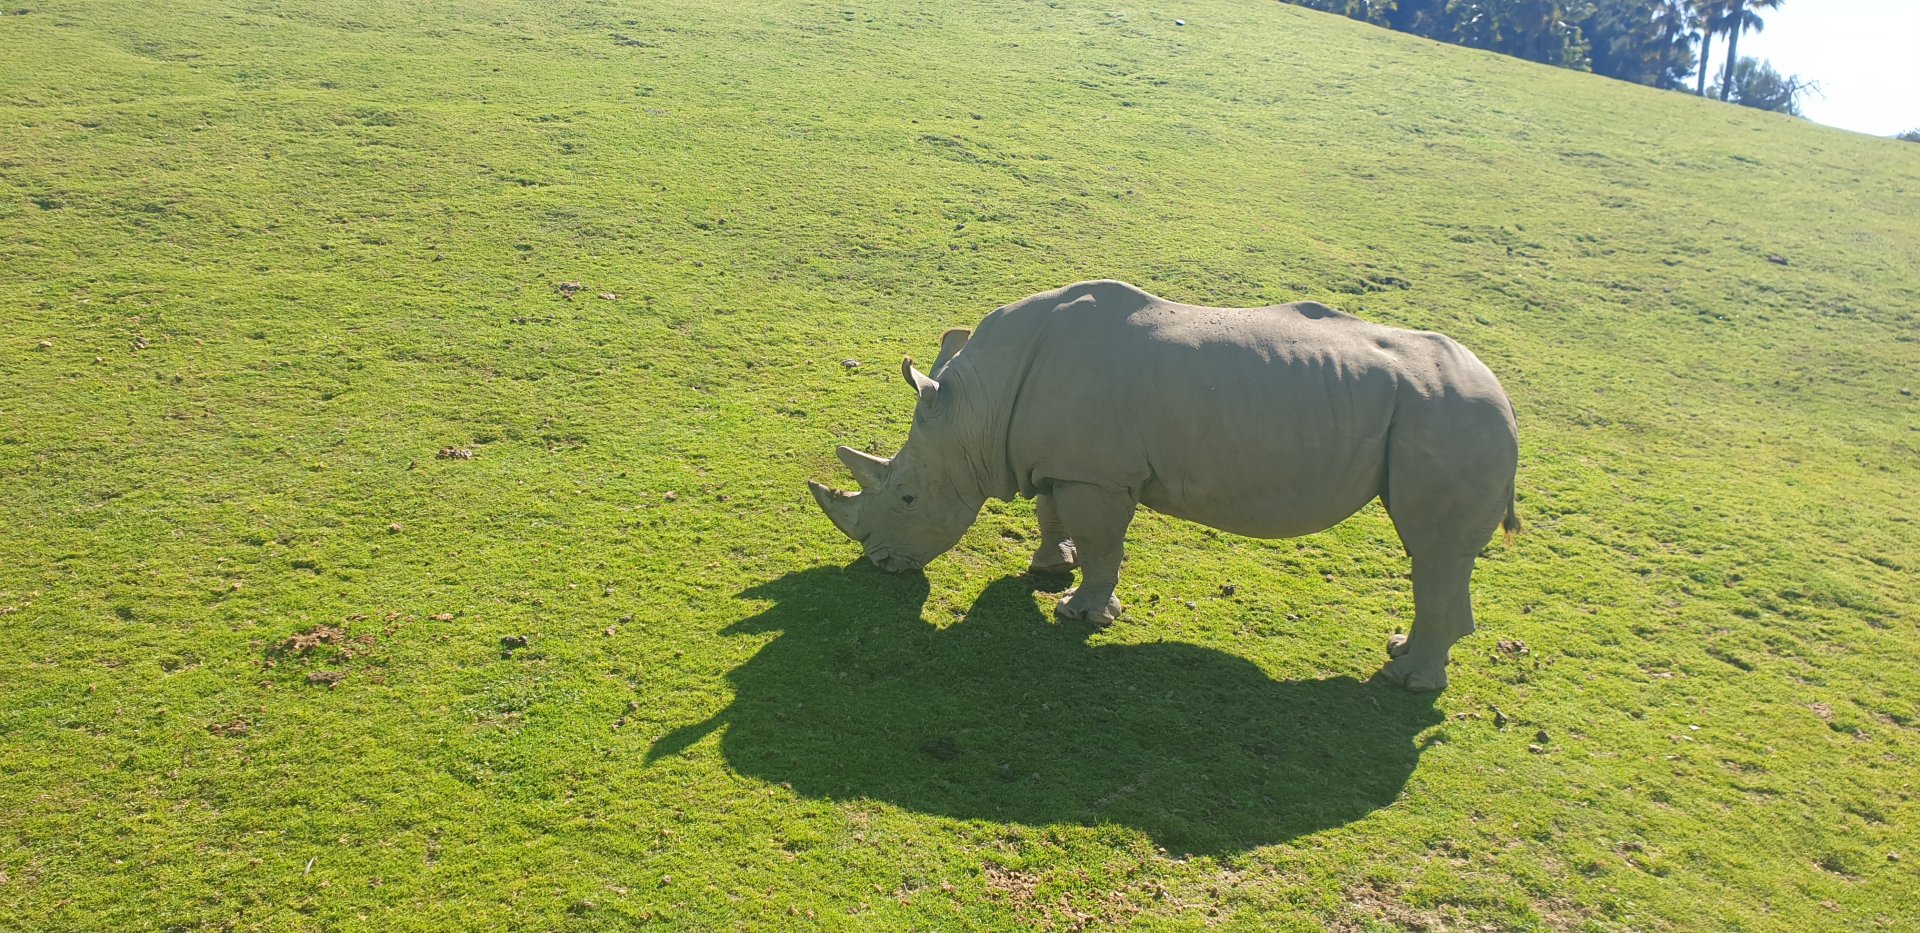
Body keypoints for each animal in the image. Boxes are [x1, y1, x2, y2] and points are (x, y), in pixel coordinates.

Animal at [808, 280, 1519, 691]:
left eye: (907, 498)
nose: (882, 564)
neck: (976, 411)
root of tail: (1504, 396)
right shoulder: (1061, 459)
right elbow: (1051, 515)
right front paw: (1049, 570)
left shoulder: (1097, 474)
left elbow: (1102, 545)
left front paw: (1081, 614)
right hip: (1441, 419)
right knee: (1437, 556)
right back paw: (1404, 656)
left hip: (1452, 419)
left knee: (1433, 552)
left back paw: (1407, 680)